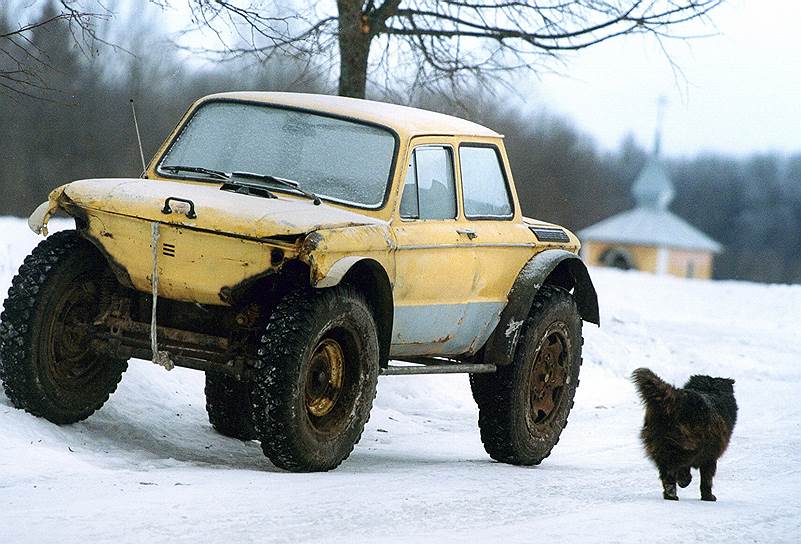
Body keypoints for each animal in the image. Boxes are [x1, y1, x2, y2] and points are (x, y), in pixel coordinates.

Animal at [632, 370, 736, 502]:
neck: (709, 391)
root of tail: (674, 399)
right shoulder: (711, 457)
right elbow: (707, 479)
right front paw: (708, 497)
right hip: (687, 444)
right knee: (677, 467)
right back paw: (682, 482)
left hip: (657, 445)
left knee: (667, 475)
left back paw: (670, 495)